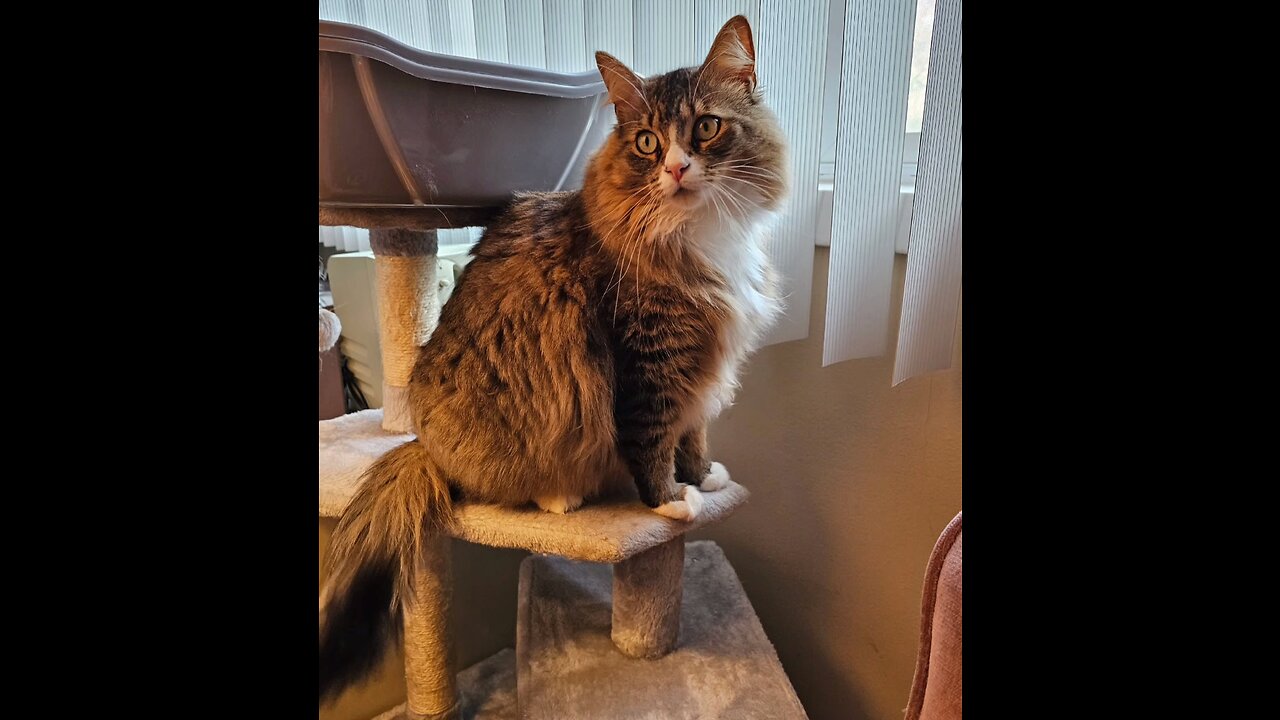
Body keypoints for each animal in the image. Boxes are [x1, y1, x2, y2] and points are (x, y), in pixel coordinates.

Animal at [320, 15, 783, 702]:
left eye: (705, 127)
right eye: (647, 142)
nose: (676, 169)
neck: (695, 237)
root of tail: (420, 443)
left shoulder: (700, 370)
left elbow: (693, 434)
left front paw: (704, 479)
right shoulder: (650, 361)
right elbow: (652, 438)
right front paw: (670, 502)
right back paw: (559, 498)